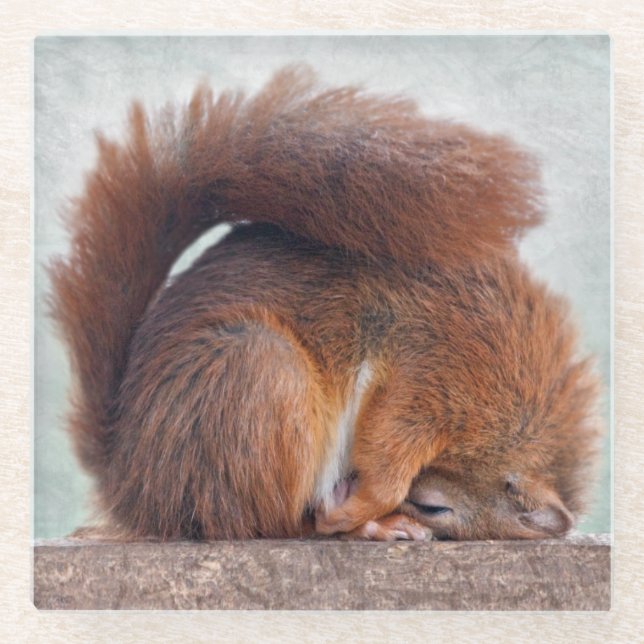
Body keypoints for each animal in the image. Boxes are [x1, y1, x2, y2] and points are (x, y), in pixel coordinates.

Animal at [49, 66, 601, 542]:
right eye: (435, 506)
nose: (416, 507)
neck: (516, 413)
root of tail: (133, 486)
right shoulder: (437, 371)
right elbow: (390, 445)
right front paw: (366, 505)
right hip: (256, 374)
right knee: (274, 525)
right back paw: (364, 524)